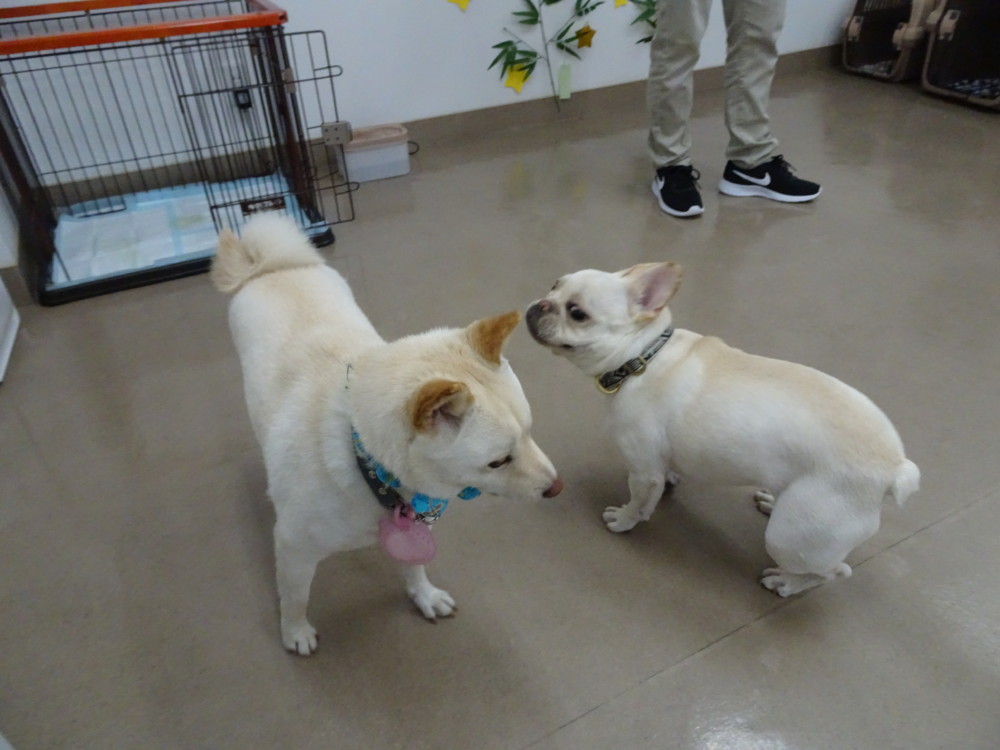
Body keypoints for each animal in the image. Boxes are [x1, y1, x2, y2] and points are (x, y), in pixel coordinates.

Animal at [213, 215, 562, 654]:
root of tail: (270, 266)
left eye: (531, 432)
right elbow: (295, 597)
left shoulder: (416, 525)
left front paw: (424, 595)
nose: (556, 487)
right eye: (498, 461)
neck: (365, 462)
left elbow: (415, 565)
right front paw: (295, 632)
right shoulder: (293, 548)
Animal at [525, 261, 919, 596]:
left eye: (577, 313)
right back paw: (771, 501)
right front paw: (672, 480)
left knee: (834, 572)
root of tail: (895, 469)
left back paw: (787, 583)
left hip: (792, 537)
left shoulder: (643, 469)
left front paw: (624, 519)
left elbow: (640, 501)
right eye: (555, 285)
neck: (644, 355)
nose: (541, 304)